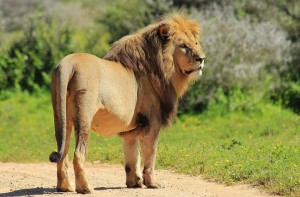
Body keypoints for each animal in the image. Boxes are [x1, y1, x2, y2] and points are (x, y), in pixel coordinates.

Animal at [49, 13, 205, 194]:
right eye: (183, 46)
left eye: (195, 43)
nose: (201, 59)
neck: (164, 70)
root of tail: (68, 63)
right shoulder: (152, 123)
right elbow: (150, 156)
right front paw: (153, 183)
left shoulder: (132, 129)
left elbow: (132, 157)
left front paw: (134, 183)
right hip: (84, 118)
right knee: (77, 154)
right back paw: (86, 188)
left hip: (61, 117)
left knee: (63, 154)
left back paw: (65, 187)